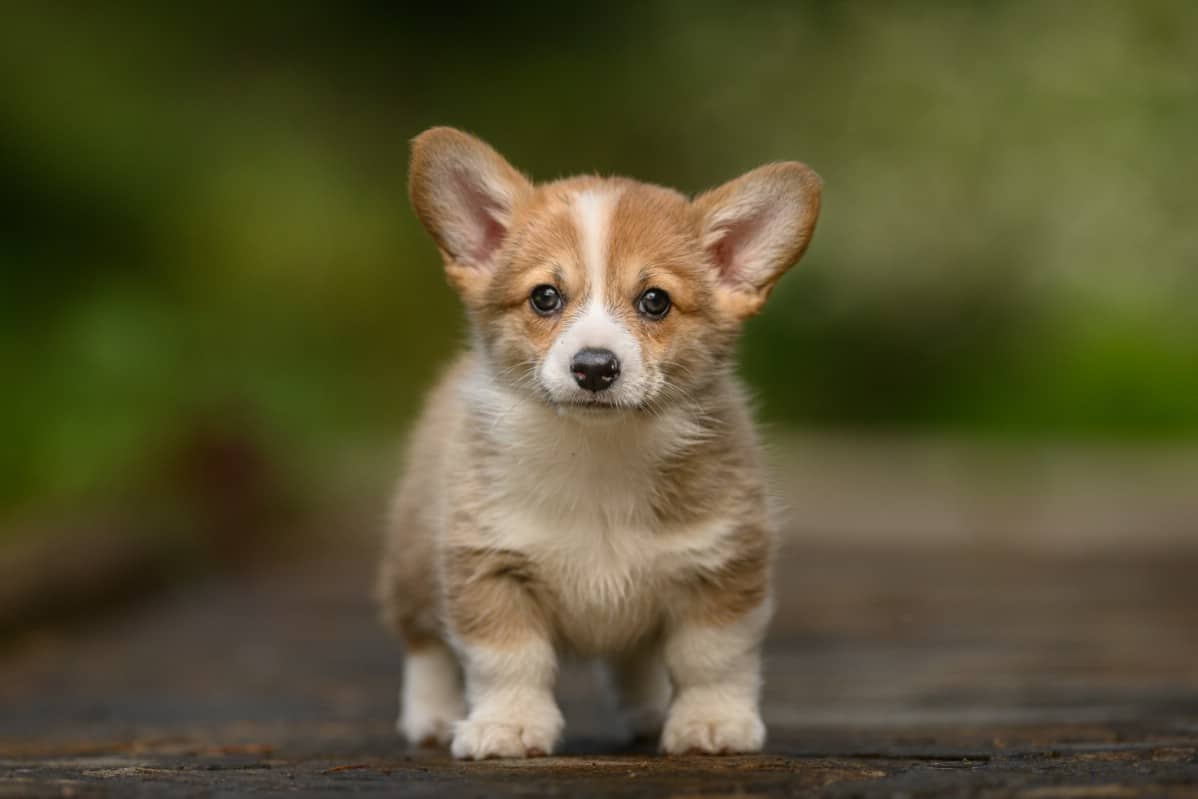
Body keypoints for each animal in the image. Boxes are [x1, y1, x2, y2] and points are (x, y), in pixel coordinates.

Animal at [378, 126, 819, 761]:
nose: (593, 368)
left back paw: (649, 711)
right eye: (545, 297)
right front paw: (508, 727)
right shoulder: (488, 565)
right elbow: (508, 660)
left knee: (636, 660)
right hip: (412, 561)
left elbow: (710, 659)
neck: (598, 452)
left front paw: (712, 724)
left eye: (655, 301)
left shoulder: (722, 566)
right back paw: (432, 717)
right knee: (424, 644)